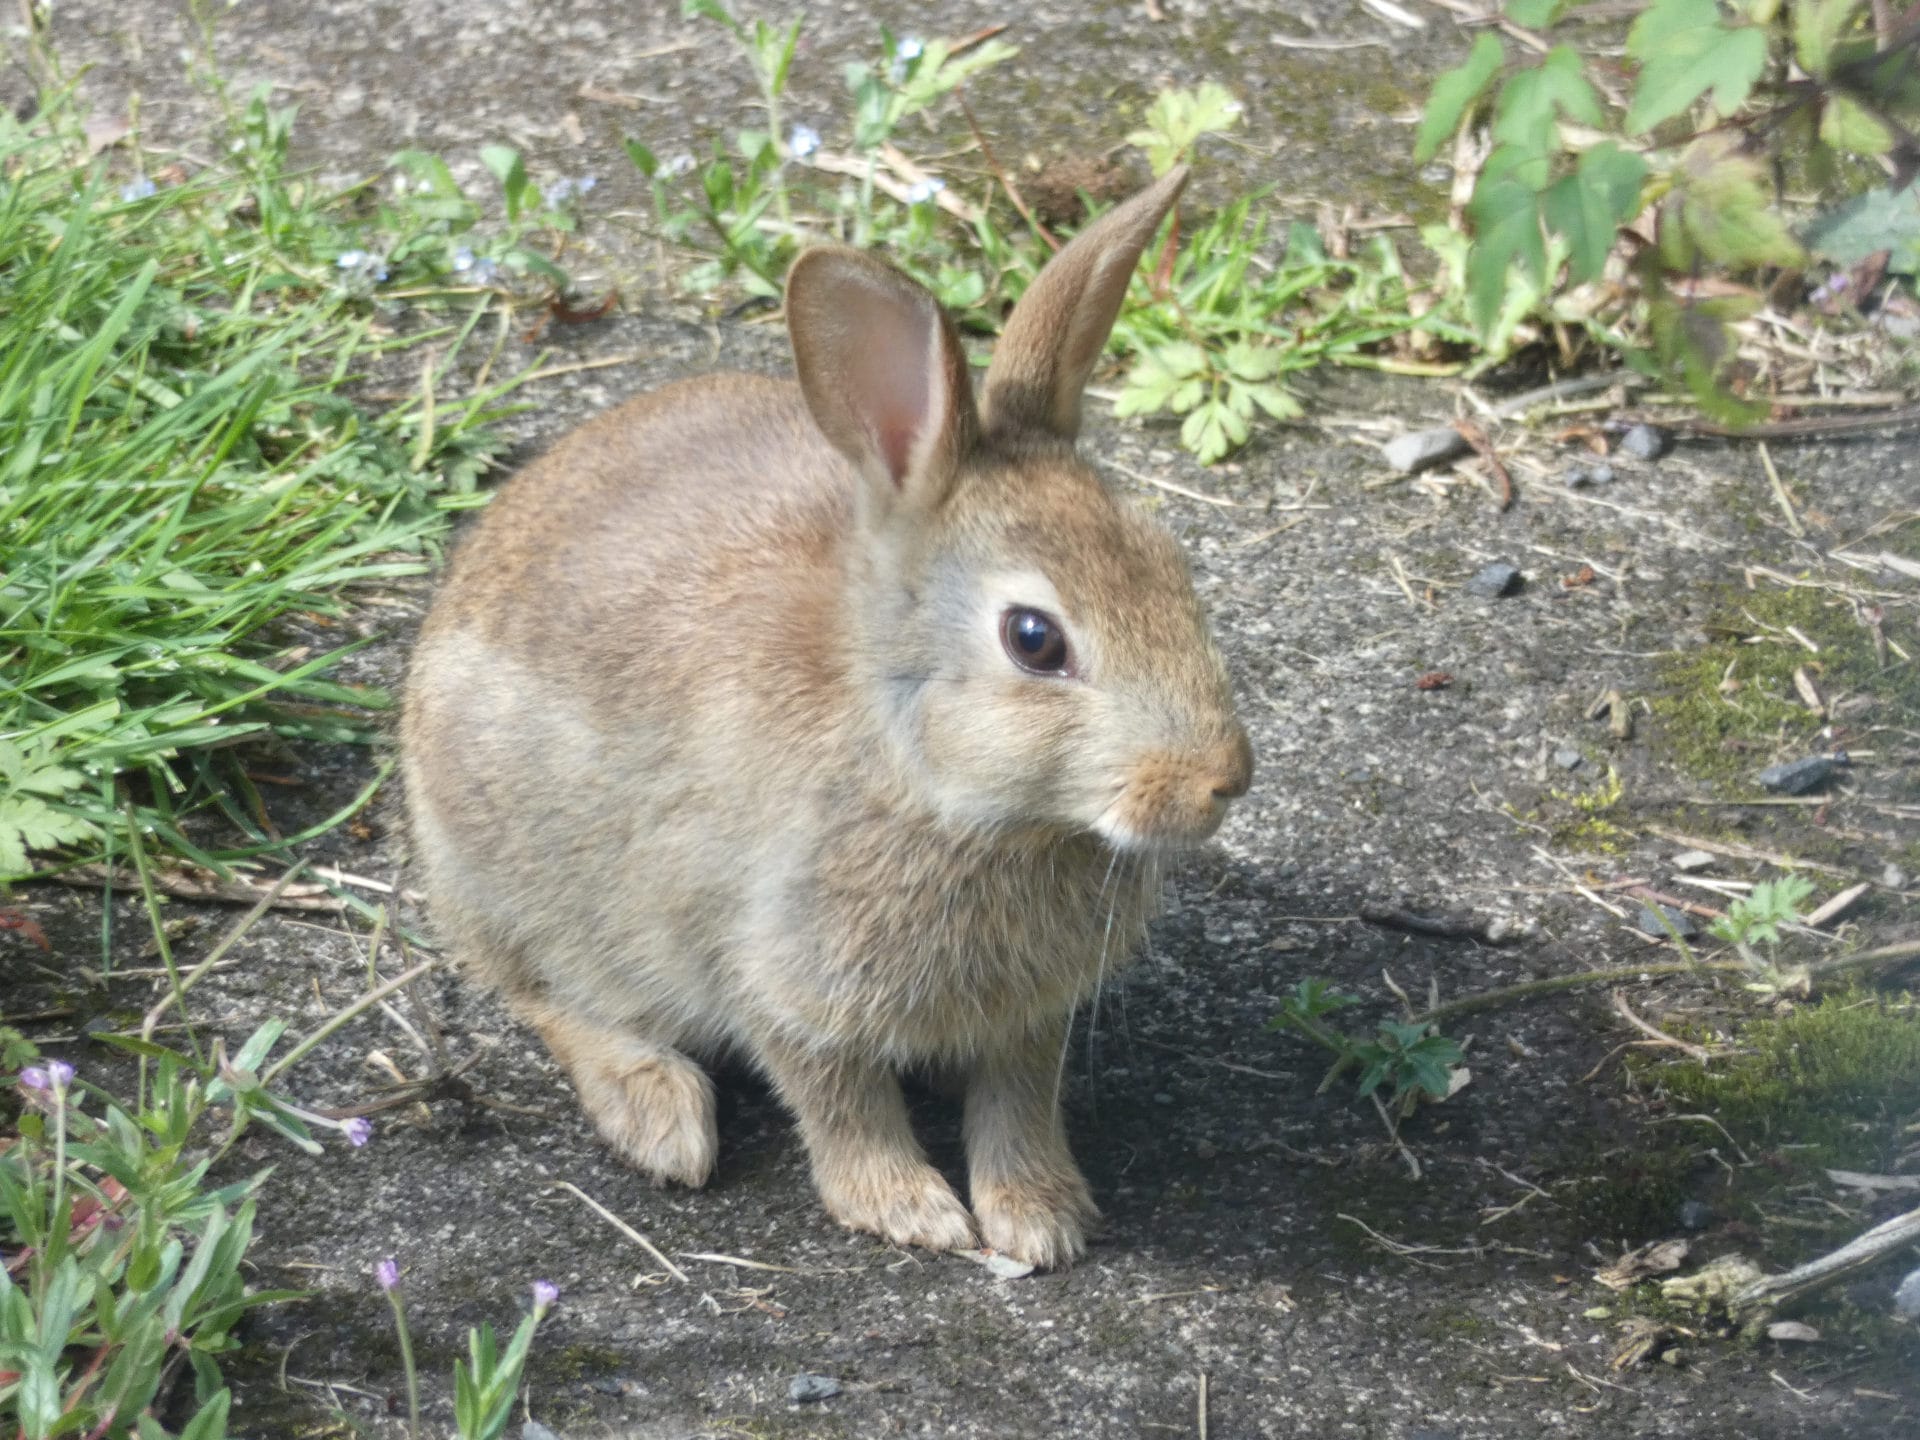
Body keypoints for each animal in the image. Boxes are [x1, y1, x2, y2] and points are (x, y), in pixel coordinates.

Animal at [397, 166, 1251, 1274]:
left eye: (1171, 566)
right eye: (1034, 640)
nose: (1224, 778)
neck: (940, 788)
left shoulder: (1027, 1017)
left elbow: (1019, 1100)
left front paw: (1038, 1216)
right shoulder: (774, 974)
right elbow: (838, 1099)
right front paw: (910, 1210)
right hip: (506, 882)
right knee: (543, 994)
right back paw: (659, 1114)